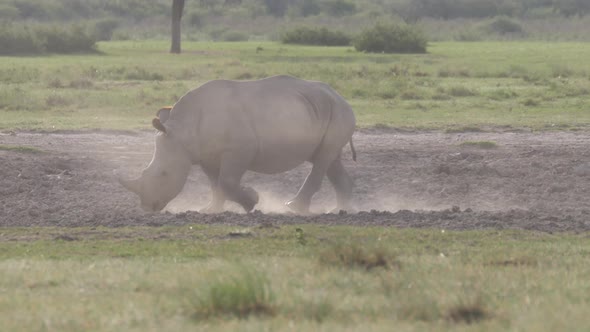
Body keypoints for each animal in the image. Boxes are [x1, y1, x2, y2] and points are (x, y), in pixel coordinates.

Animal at [116, 75, 356, 214]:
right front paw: (209, 210)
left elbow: (227, 182)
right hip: (322, 110)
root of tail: (341, 97)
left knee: (323, 159)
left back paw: (293, 208)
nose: (147, 207)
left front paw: (252, 201)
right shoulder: (206, 154)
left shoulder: (241, 149)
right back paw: (339, 210)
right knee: (329, 159)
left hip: (338, 111)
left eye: (163, 174)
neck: (183, 130)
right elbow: (215, 184)